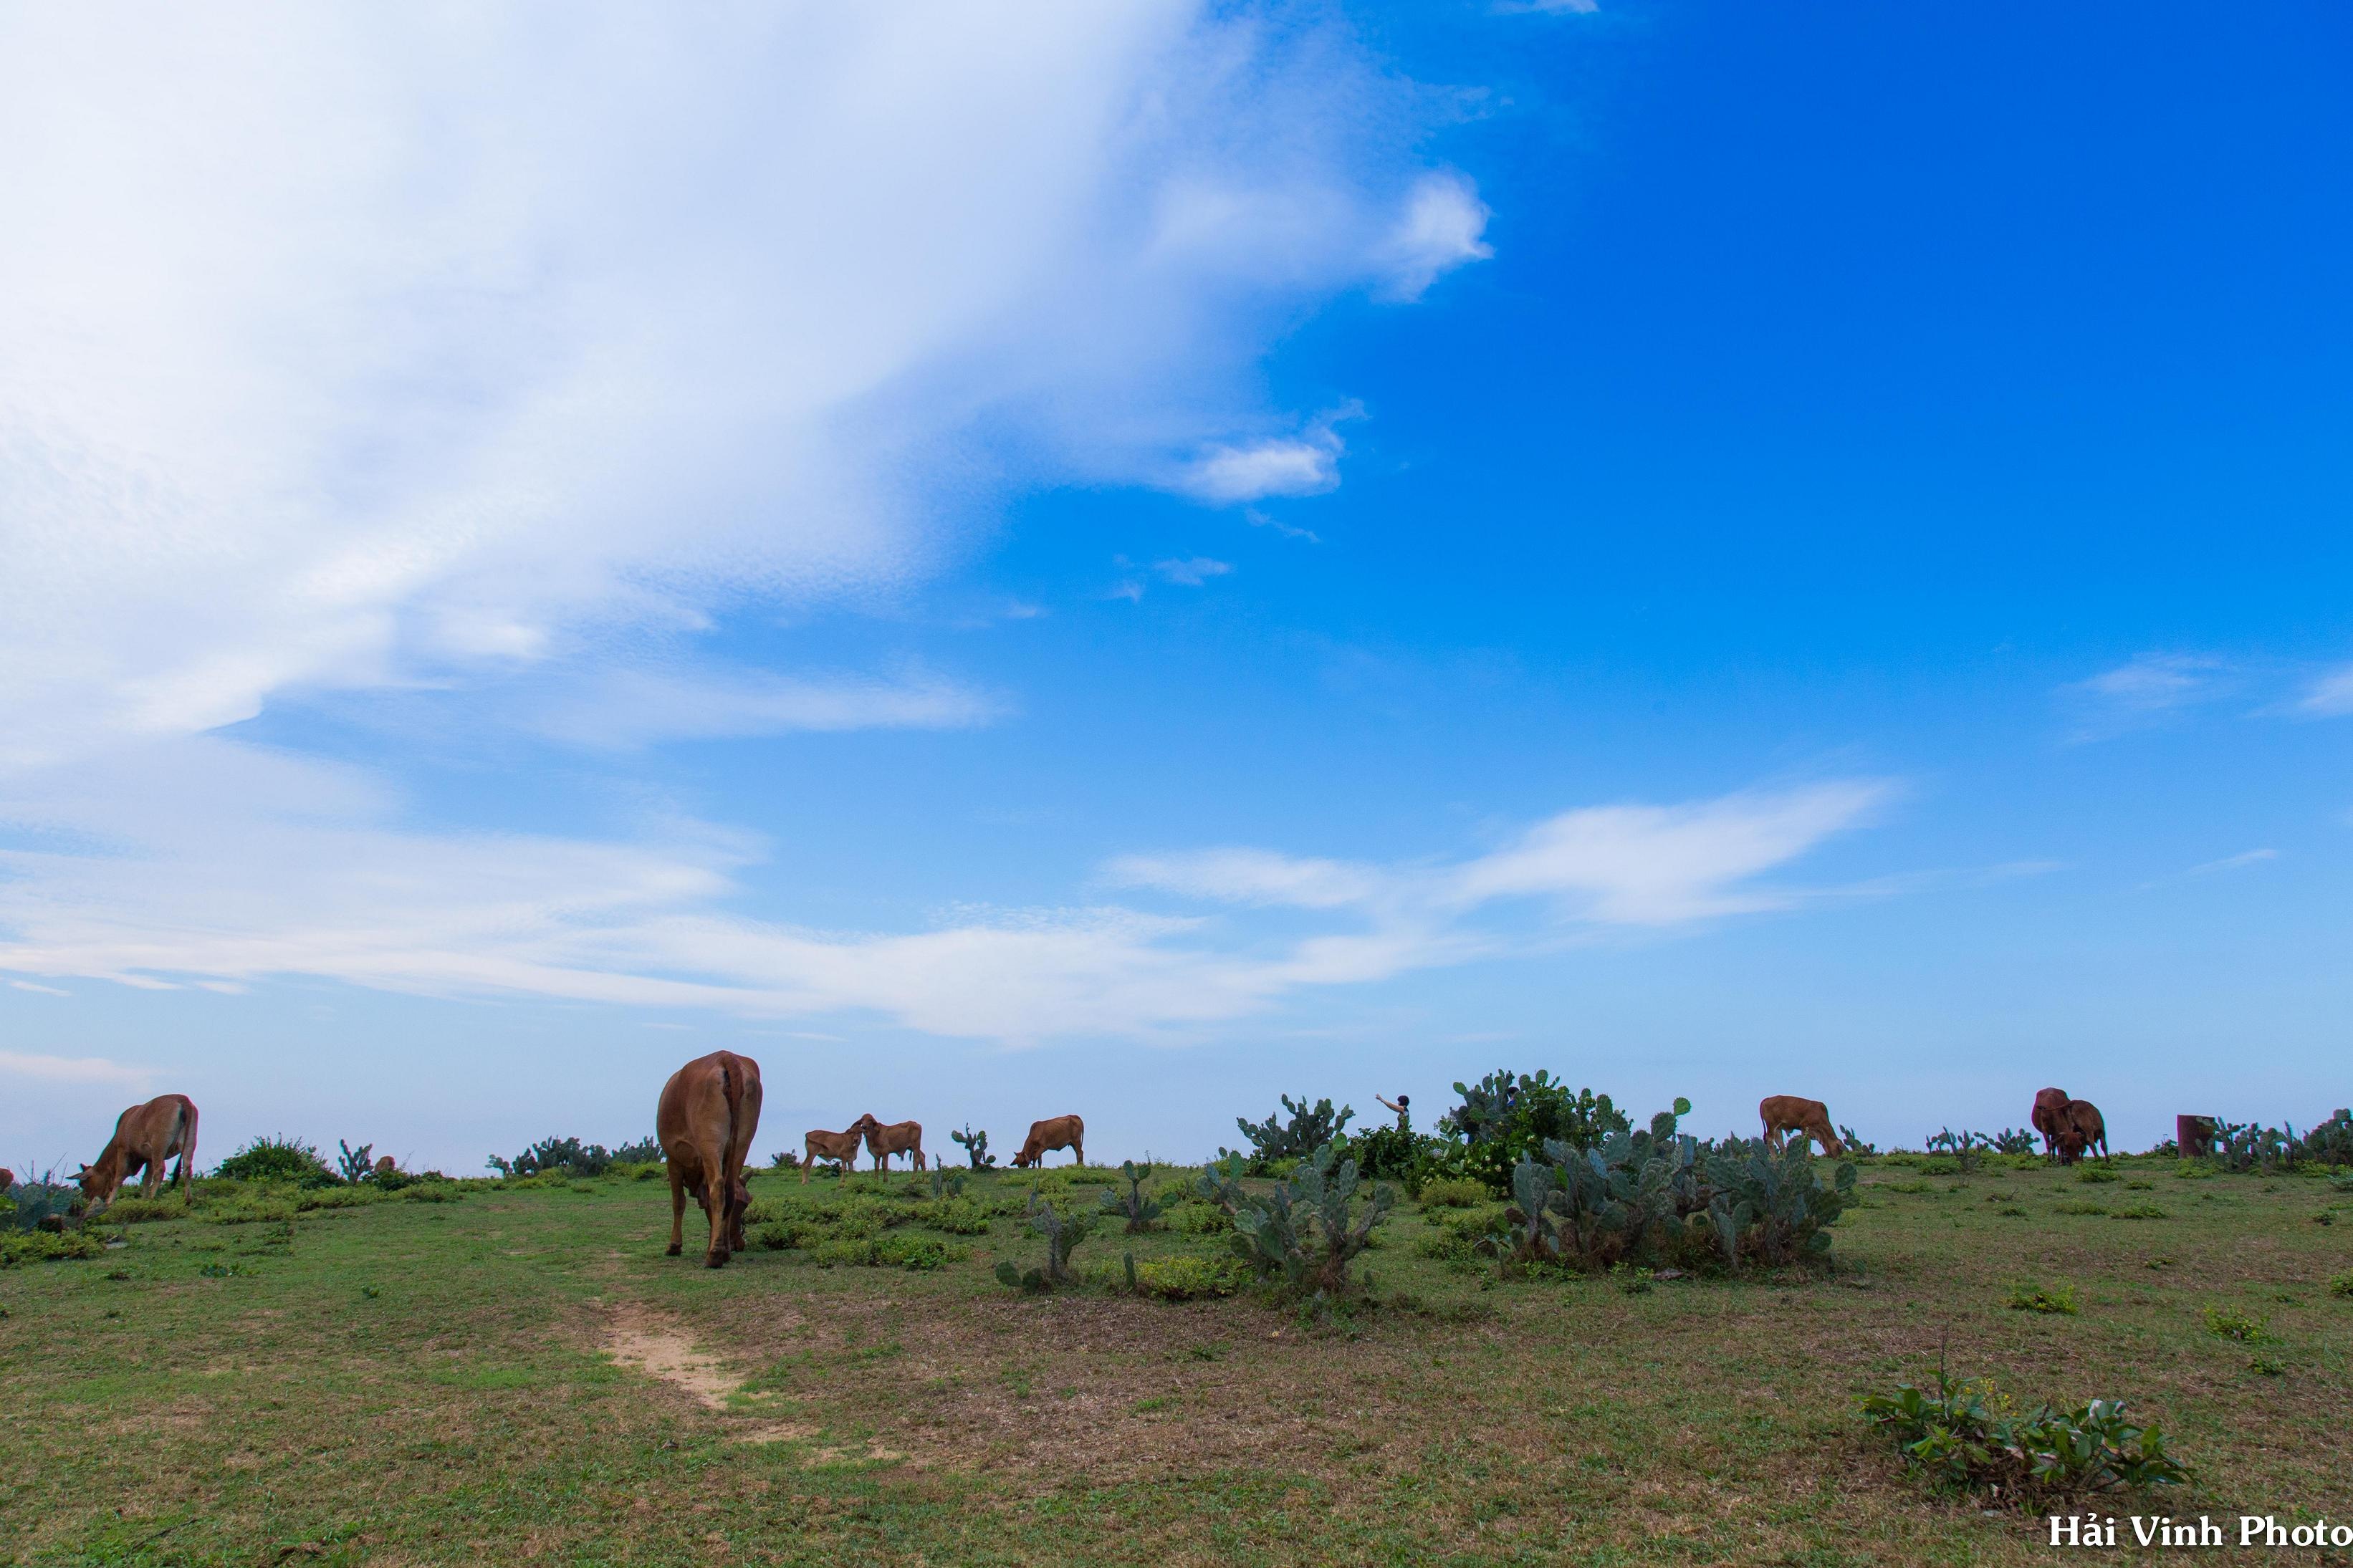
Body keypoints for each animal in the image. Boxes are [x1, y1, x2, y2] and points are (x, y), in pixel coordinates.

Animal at [75, 1090, 200, 1213]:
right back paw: (188, 1199)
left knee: (160, 1170)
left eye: (83, 1184)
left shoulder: (123, 1150)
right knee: (187, 1167)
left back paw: (152, 1198)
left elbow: (119, 1176)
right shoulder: (149, 1157)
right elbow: (146, 1178)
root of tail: (182, 1099)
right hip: (189, 1142)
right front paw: (143, 1200)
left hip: (159, 1145)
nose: (86, 1202)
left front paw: (110, 1202)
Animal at [653, 1048, 762, 1269]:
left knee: (718, 1188)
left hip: (710, 1142)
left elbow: (678, 1202)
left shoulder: (673, 1158)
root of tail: (726, 1057)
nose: (738, 1244)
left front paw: (674, 1246)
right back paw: (722, 1252)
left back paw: (714, 1256)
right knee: (729, 1188)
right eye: (745, 1204)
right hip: (743, 1142)